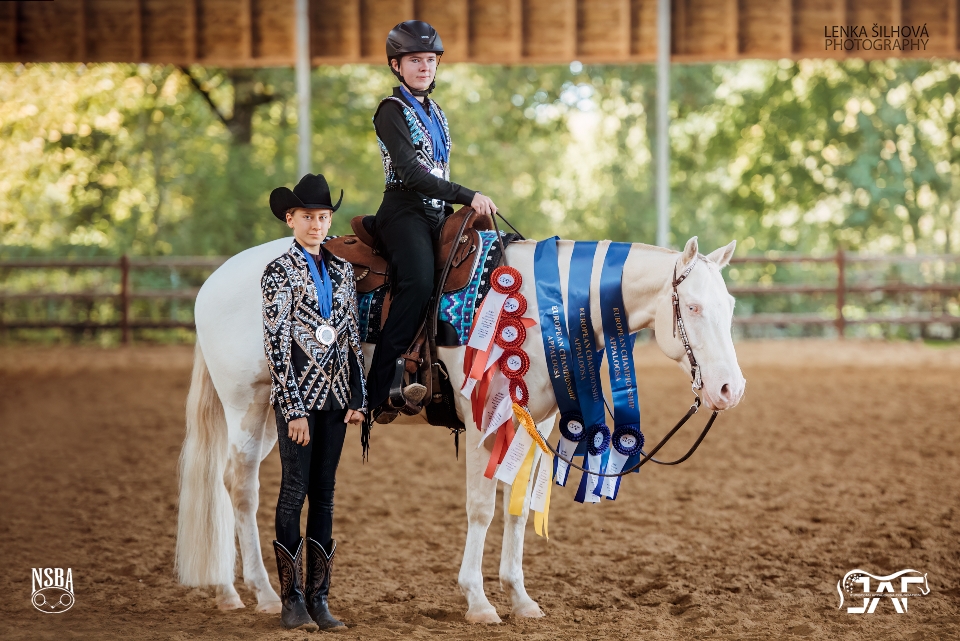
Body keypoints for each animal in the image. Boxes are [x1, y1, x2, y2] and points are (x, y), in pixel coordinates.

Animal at [174, 234, 744, 620]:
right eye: (693, 307)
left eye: (730, 306)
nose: (729, 390)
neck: (539, 307)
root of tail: (213, 282)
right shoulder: (482, 420)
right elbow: (482, 508)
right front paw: (478, 600)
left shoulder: (536, 422)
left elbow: (517, 509)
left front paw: (520, 598)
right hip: (247, 403)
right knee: (241, 487)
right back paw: (262, 594)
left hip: (283, 414)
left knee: (229, 484)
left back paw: (231, 591)